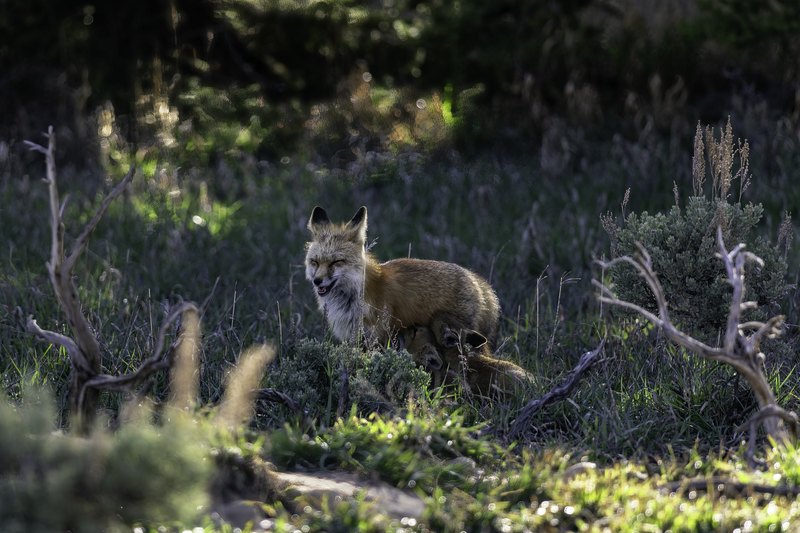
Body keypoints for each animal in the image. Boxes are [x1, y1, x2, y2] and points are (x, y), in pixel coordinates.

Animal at [304, 206, 500, 347]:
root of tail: (476, 280)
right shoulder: (353, 339)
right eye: (315, 262)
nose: (317, 281)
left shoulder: (377, 338)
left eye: (336, 262)